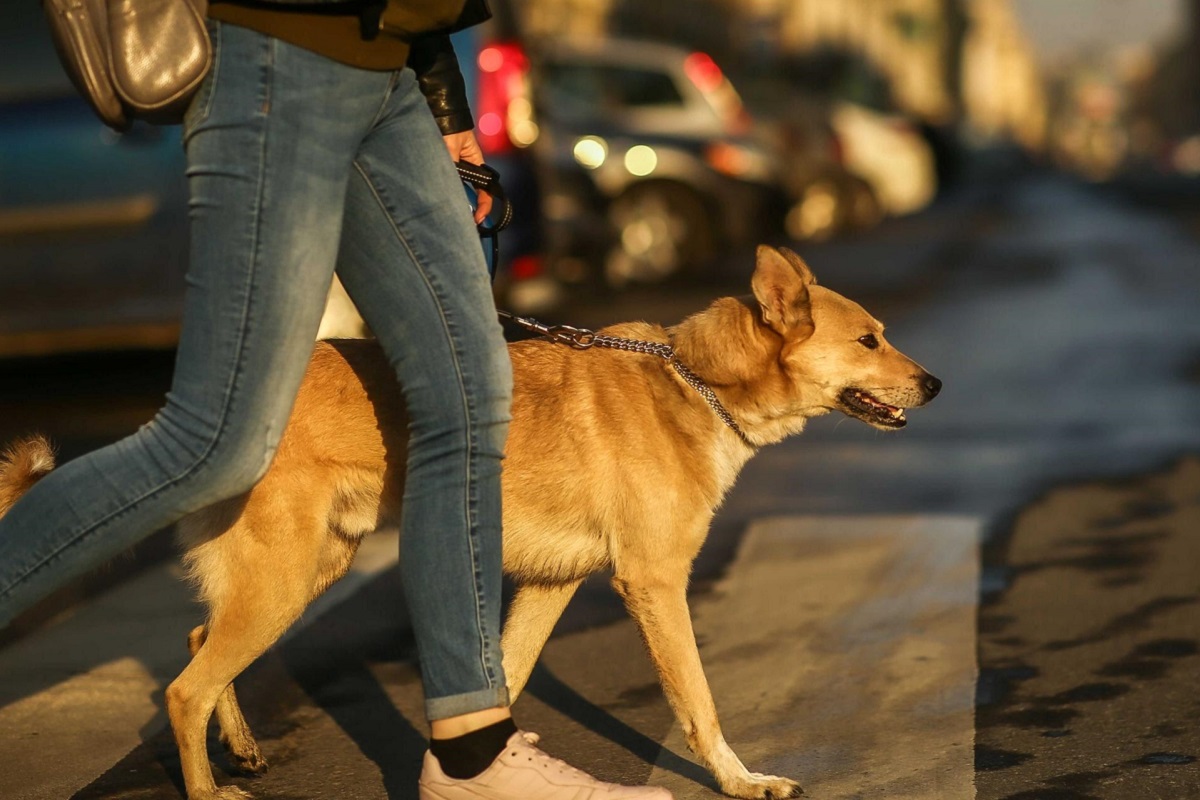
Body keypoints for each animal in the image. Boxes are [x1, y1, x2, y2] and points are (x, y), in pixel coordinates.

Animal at [0, 247, 936, 796]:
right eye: (868, 340)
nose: (934, 384)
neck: (694, 381)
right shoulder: (655, 584)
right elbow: (699, 704)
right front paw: (744, 781)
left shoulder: (553, 585)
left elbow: (505, 678)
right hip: (284, 577)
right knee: (184, 686)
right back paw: (207, 784)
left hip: (304, 571)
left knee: (200, 646)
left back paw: (243, 747)